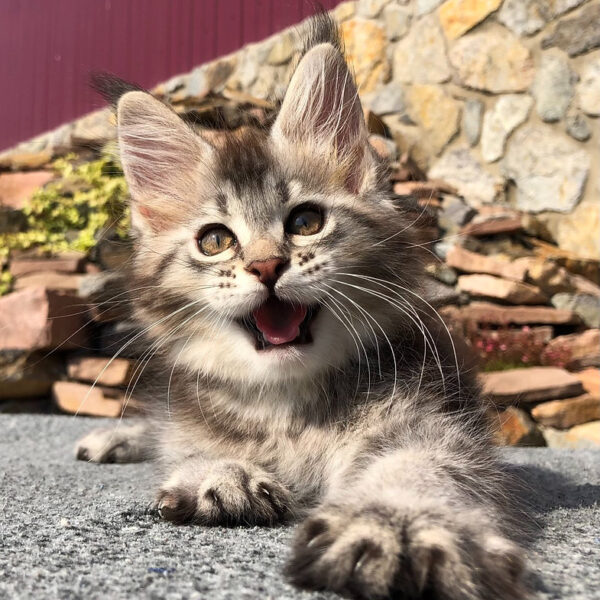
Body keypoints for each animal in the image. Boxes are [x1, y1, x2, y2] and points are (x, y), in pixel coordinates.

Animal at [77, 14, 528, 600]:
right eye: (215, 240)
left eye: (306, 222)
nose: (268, 266)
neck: (289, 406)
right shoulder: (193, 412)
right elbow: (186, 443)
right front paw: (221, 471)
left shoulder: (433, 421)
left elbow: (420, 467)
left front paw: (397, 525)